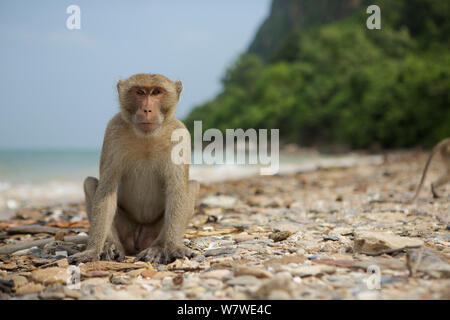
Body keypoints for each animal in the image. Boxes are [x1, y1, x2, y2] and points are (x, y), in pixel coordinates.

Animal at [68, 74, 199, 264]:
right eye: (139, 92)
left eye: (156, 92)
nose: (147, 110)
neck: (147, 137)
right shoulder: (113, 130)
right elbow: (106, 191)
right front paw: (92, 250)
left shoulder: (181, 135)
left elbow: (176, 191)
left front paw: (173, 247)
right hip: (127, 230)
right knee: (90, 184)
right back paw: (112, 246)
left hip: (151, 231)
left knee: (192, 185)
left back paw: (157, 247)